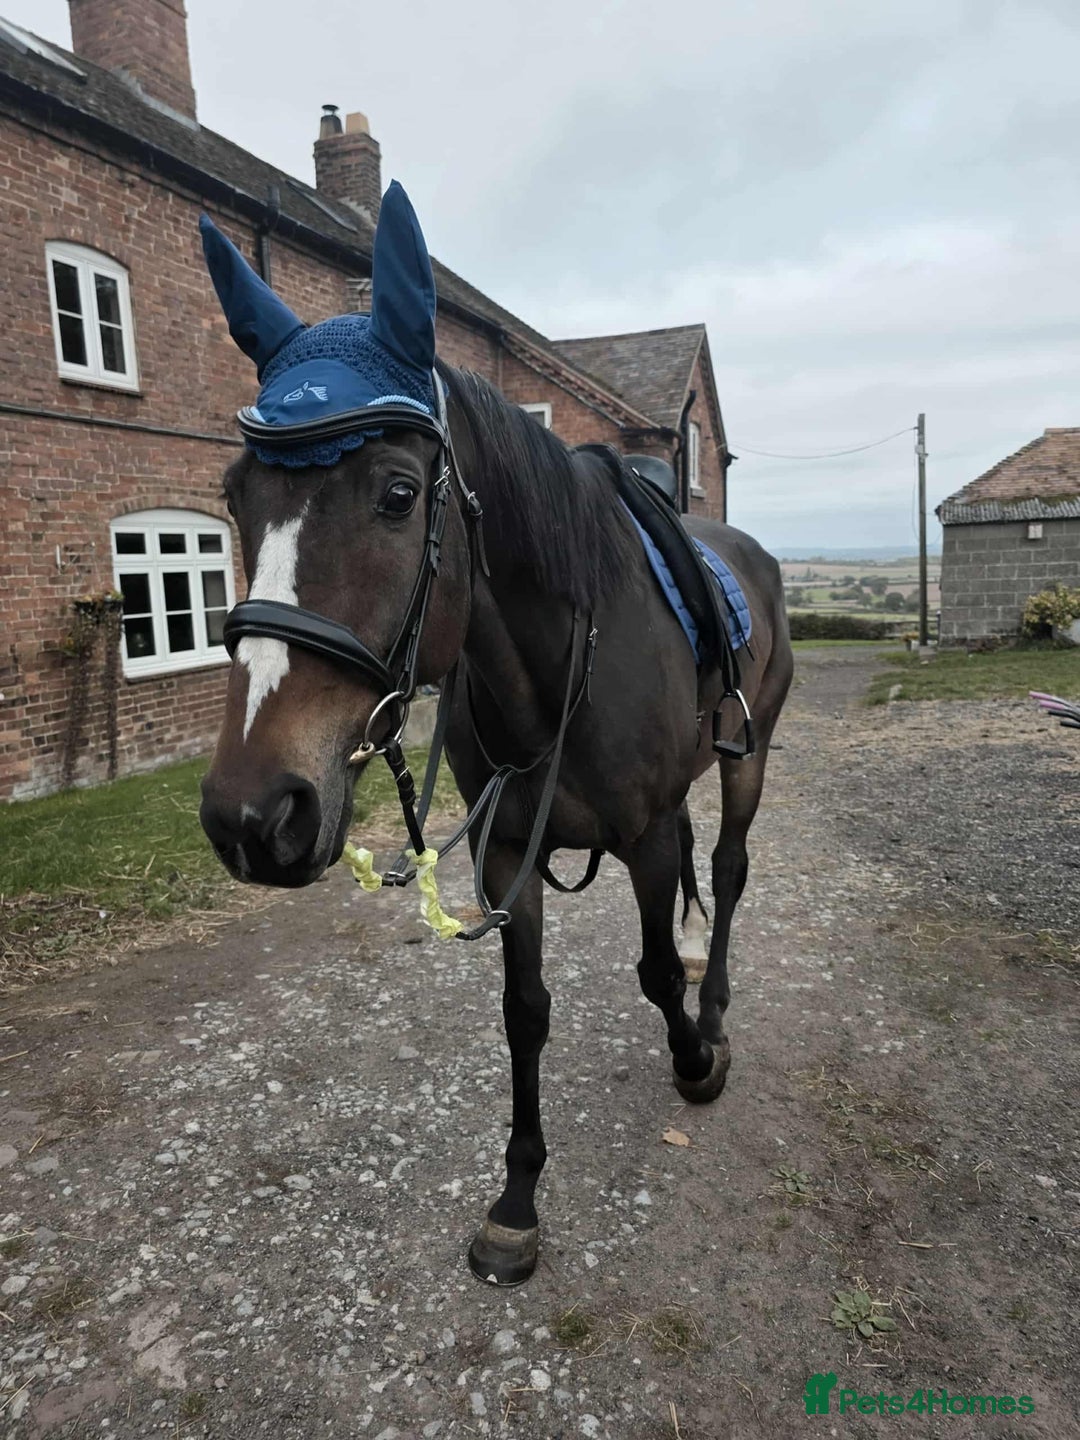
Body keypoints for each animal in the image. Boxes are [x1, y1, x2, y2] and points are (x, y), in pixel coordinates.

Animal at [197, 182, 794, 1285]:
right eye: (235, 496)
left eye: (397, 493)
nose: (252, 814)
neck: (554, 667)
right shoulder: (510, 850)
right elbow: (525, 1013)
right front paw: (517, 1198)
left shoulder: (643, 834)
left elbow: (651, 970)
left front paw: (694, 1056)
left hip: (750, 758)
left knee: (728, 871)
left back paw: (715, 1004)